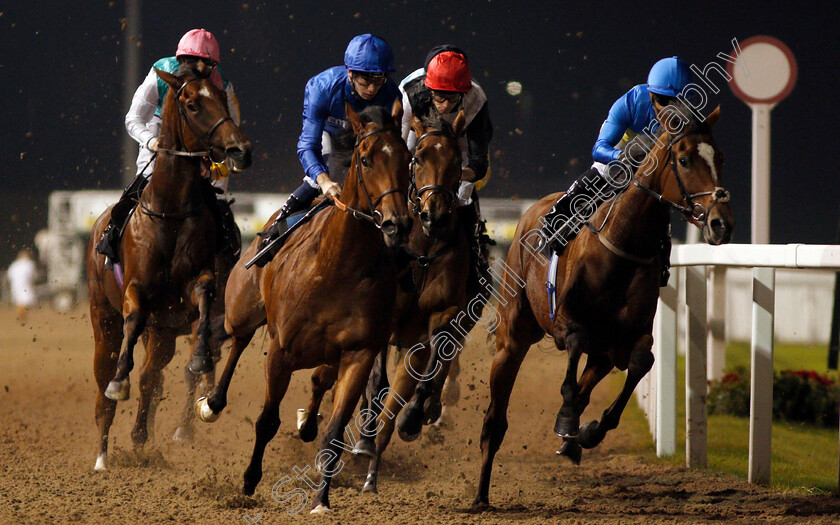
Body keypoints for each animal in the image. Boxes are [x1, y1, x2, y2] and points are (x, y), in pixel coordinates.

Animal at [89, 66, 253, 470]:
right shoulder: (136, 289)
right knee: (104, 385)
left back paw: (144, 434)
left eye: (223, 98)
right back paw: (102, 456)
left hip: (164, 331)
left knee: (153, 376)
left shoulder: (193, 288)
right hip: (103, 318)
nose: (240, 150)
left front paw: (199, 359)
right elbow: (133, 322)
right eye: (192, 104)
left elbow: (205, 299)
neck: (171, 211)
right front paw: (120, 381)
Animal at [194, 101, 410, 512]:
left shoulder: (359, 353)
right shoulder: (281, 350)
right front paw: (249, 481)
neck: (337, 266)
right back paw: (212, 402)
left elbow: (335, 432)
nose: (398, 223)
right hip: (243, 307)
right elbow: (266, 421)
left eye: (407, 158)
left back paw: (307, 423)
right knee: (238, 341)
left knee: (319, 381)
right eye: (366, 159)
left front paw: (321, 499)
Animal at [476, 100, 732, 506]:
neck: (622, 245)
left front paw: (587, 431)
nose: (722, 223)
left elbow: (642, 363)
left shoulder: (632, 334)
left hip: (604, 351)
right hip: (514, 334)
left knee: (591, 377)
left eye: (719, 156)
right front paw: (568, 420)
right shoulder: (566, 322)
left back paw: (572, 439)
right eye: (685, 159)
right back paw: (481, 494)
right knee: (495, 417)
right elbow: (573, 364)